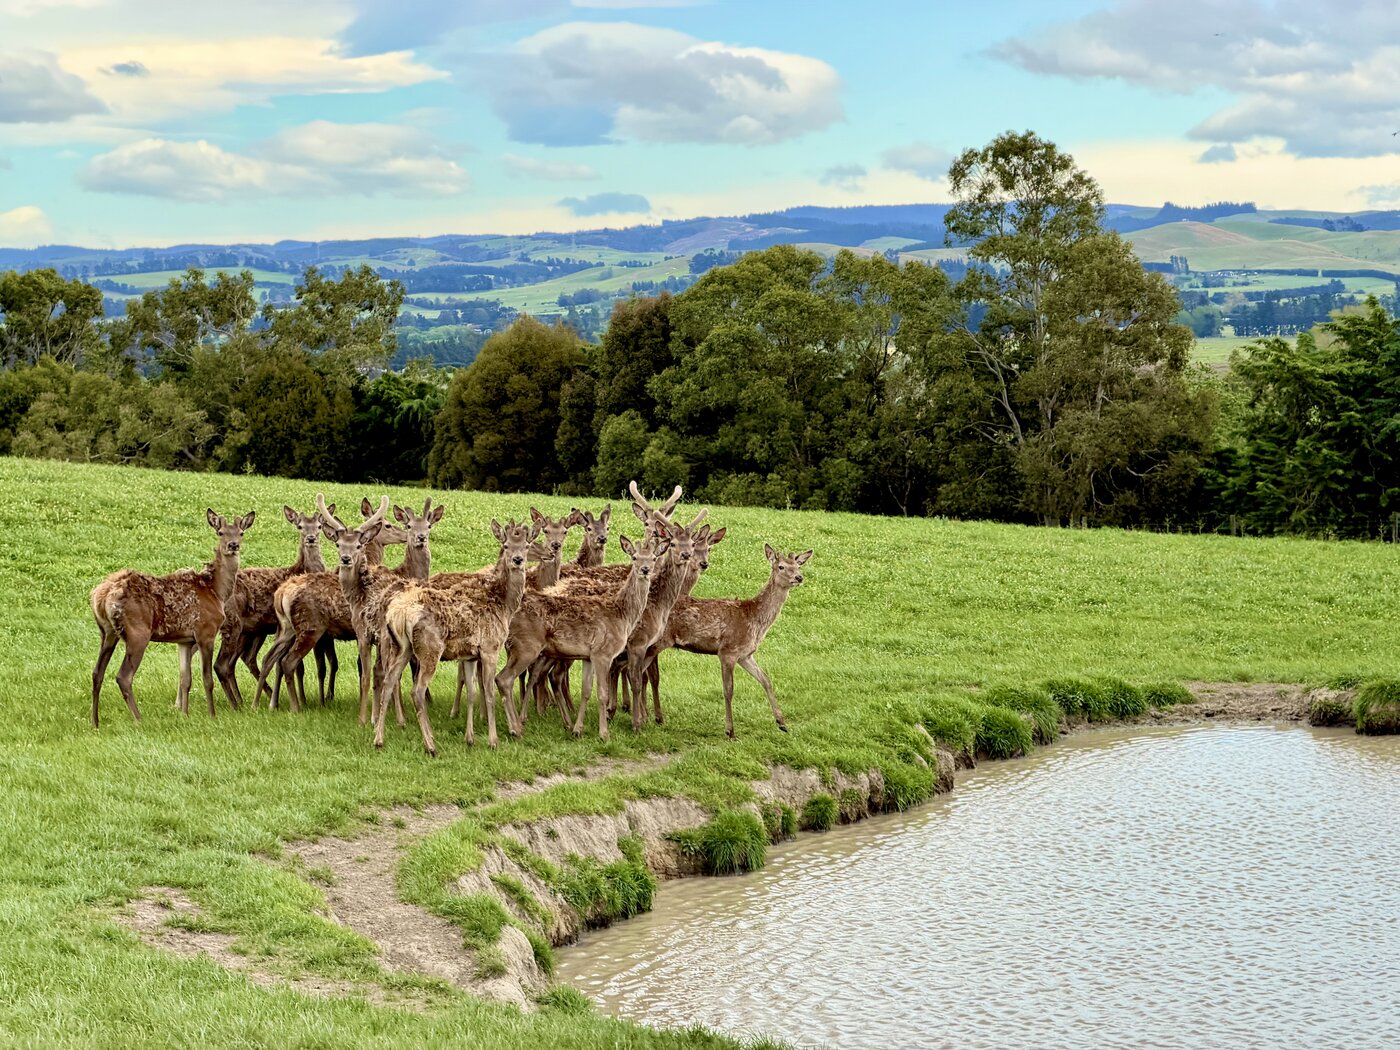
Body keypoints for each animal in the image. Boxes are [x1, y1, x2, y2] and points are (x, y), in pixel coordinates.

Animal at [91, 509, 256, 727]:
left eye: (241, 533)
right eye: (220, 532)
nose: (233, 545)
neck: (216, 591)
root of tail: (101, 596)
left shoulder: (185, 640)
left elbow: (186, 679)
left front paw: (185, 714)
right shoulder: (206, 632)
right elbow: (207, 679)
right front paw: (212, 715)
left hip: (107, 632)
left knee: (96, 673)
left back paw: (95, 722)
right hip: (137, 633)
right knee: (123, 677)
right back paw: (139, 719)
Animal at [380, 519, 539, 753]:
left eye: (527, 545)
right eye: (506, 545)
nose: (517, 560)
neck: (504, 606)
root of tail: (398, 613)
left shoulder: (469, 655)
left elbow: (471, 692)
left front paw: (469, 738)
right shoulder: (491, 647)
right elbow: (489, 692)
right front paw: (493, 740)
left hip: (402, 646)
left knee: (389, 680)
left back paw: (379, 739)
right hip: (430, 648)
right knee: (417, 691)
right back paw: (430, 745)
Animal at [495, 533, 666, 742]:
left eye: (654, 558)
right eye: (634, 557)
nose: (645, 569)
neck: (622, 614)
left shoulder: (588, 656)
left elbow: (586, 691)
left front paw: (578, 730)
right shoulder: (603, 652)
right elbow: (602, 693)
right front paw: (604, 734)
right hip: (526, 646)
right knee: (504, 679)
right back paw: (516, 729)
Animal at [646, 544, 811, 739]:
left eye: (798, 566)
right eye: (781, 567)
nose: (799, 577)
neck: (754, 619)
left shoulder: (745, 654)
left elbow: (766, 680)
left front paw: (782, 722)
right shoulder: (728, 651)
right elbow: (728, 690)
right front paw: (730, 731)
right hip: (659, 640)